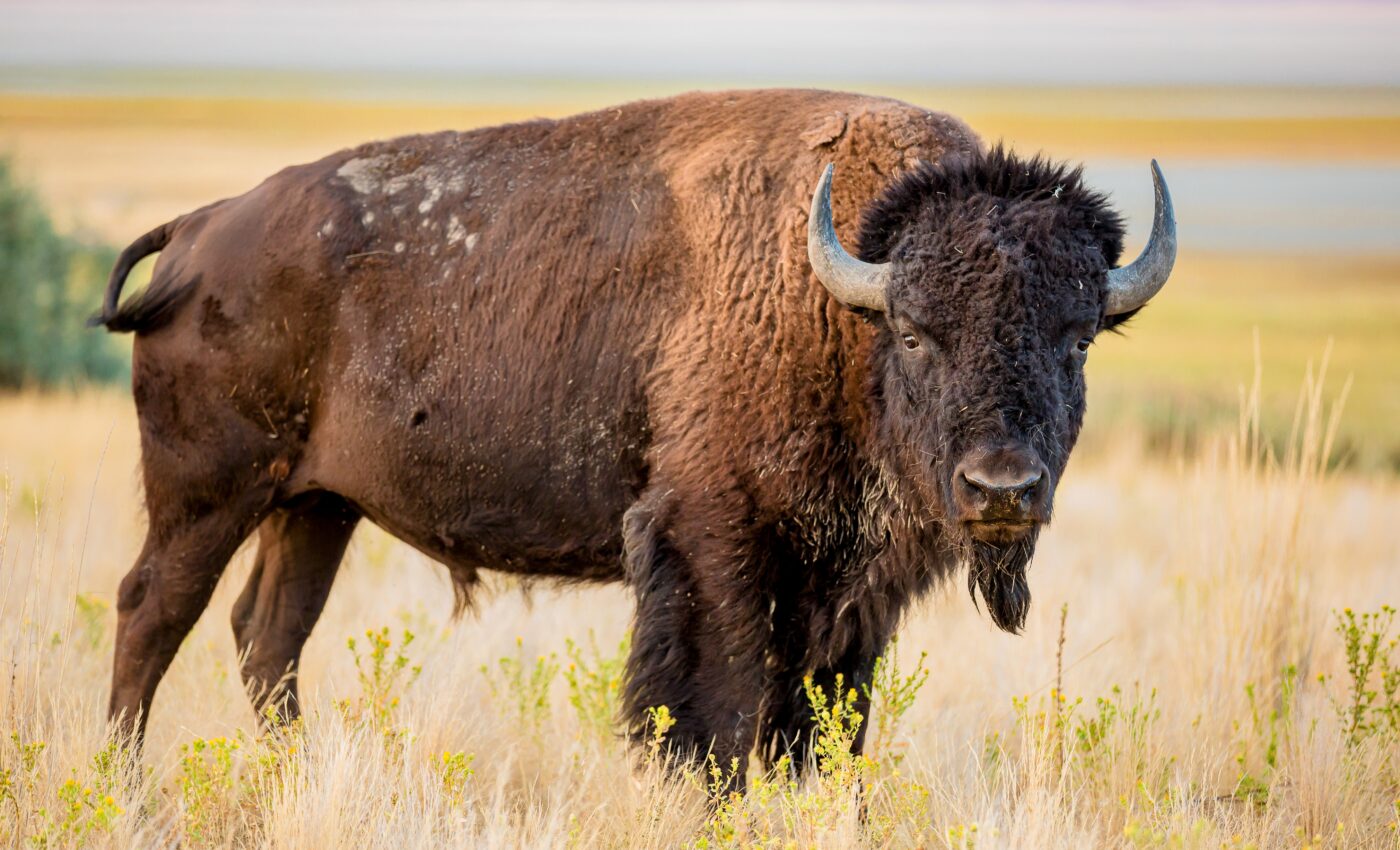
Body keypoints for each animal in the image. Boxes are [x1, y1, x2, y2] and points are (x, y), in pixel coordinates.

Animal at [95, 89, 1174, 780]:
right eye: (914, 332)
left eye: (1077, 337)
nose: (1001, 489)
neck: (839, 302)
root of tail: (201, 230)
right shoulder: (714, 545)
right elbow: (717, 713)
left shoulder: (850, 591)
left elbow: (823, 725)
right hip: (209, 492)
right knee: (154, 612)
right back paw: (123, 782)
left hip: (316, 505)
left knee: (267, 636)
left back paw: (293, 775)